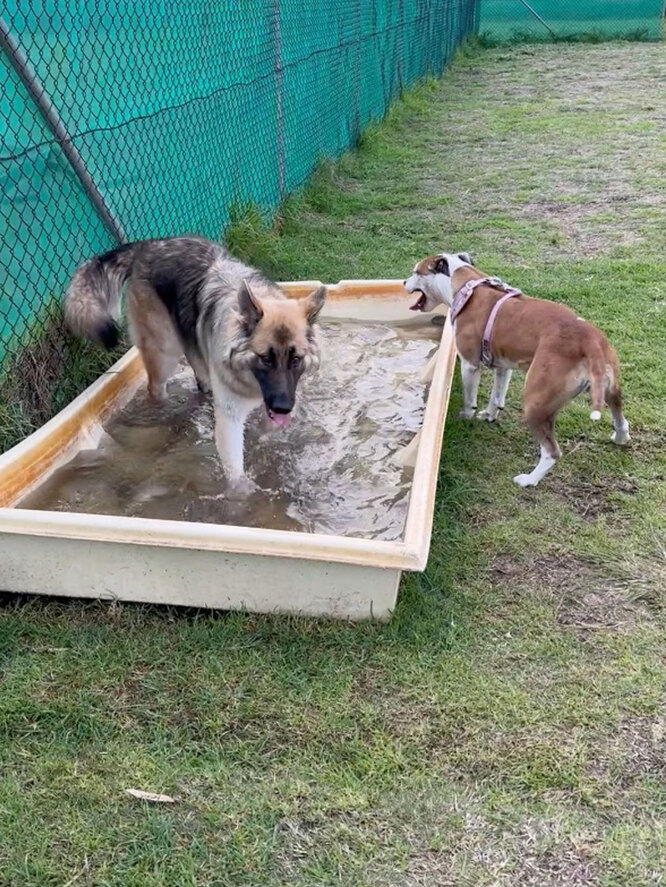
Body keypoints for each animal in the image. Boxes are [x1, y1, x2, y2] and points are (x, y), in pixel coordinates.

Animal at [65, 236, 324, 486]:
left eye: (296, 359)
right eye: (265, 359)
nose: (283, 407)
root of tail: (147, 246)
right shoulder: (230, 418)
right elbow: (235, 473)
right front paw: (243, 495)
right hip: (165, 355)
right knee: (156, 390)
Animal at [400, 253, 628, 490]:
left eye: (416, 272)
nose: (404, 282)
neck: (464, 285)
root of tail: (590, 342)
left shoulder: (470, 364)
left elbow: (469, 398)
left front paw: (466, 416)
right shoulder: (503, 365)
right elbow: (496, 396)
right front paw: (489, 415)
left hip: (535, 403)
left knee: (551, 452)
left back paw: (529, 479)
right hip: (610, 389)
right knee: (620, 417)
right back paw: (620, 438)